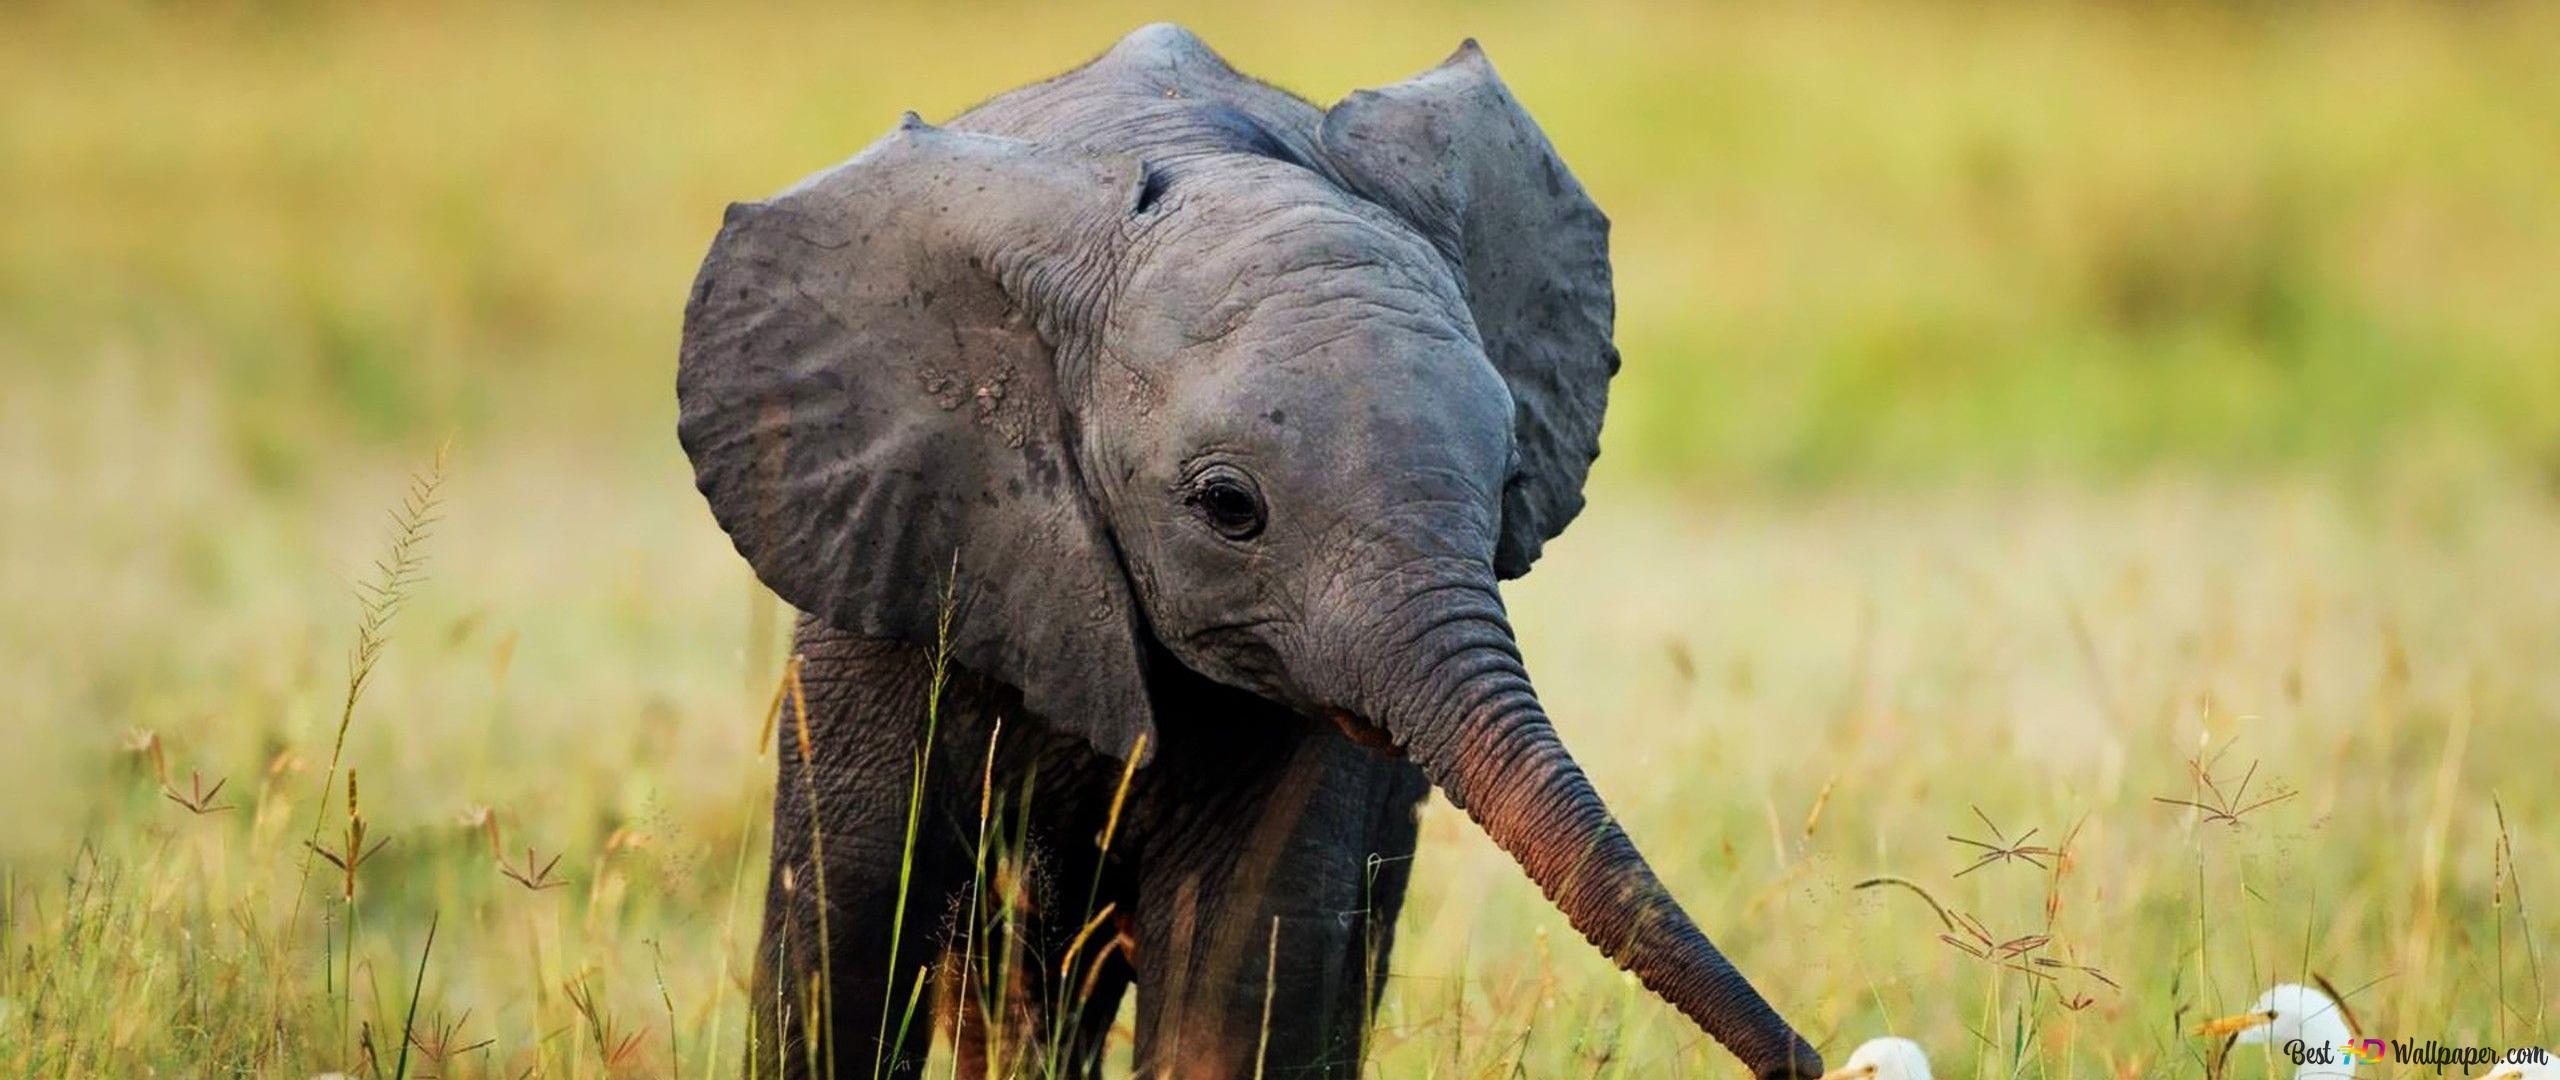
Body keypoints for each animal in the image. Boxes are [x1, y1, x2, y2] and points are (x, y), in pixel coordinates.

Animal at [676, 23, 1820, 1080]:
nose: (1812, 1058)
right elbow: (843, 947)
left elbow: (1241, 980)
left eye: (1505, 488)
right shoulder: (899, 547)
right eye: (1228, 507)